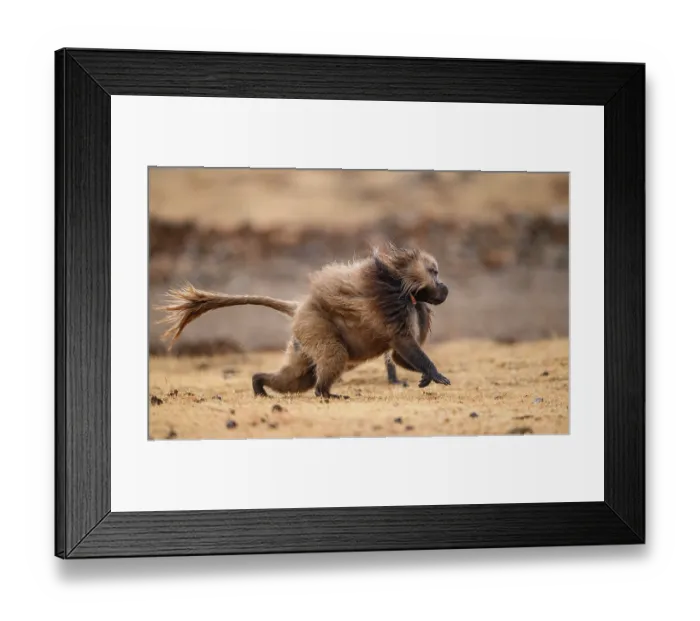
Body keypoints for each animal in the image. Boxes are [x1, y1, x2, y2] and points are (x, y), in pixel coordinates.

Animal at [157, 244, 450, 399]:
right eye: (434, 272)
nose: (445, 288)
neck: (403, 286)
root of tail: (299, 307)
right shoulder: (395, 305)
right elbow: (403, 344)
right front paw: (434, 373)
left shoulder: (415, 309)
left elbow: (400, 355)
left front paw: (426, 376)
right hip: (314, 324)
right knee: (332, 357)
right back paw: (326, 393)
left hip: (303, 338)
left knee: (299, 377)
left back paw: (259, 384)